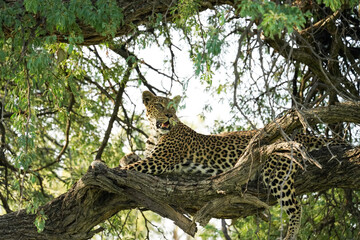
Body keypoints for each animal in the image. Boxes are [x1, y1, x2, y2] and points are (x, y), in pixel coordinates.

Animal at [120, 90, 346, 240]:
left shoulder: (159, 160)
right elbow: (129, 159)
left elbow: (126, 168)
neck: (155, 132)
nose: (169, 115)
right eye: (159, 105)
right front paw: (125, 158)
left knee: (296, 207)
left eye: (172, 108)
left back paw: (290, 235)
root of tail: (300, 135)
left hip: (276, 171)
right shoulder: (152, 156)